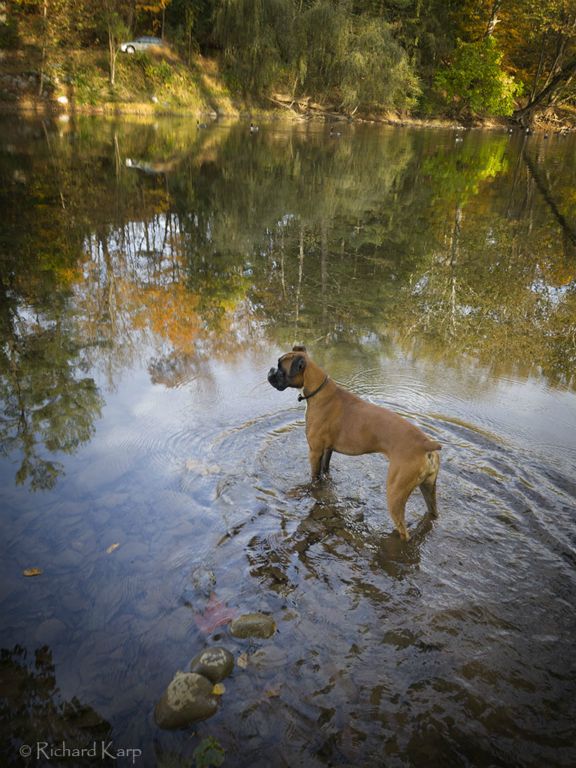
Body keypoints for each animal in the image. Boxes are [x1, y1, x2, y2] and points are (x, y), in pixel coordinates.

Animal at [268, 348, 440, 540]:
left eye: (280, 367)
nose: (270, 371)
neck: (318, 389)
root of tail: (426, 444)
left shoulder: (315, 451)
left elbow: (314, 478)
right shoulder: (328, 450)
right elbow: (325, 471)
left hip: (396, 493)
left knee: (403, 531)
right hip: (428, 489)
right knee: (432, 513)